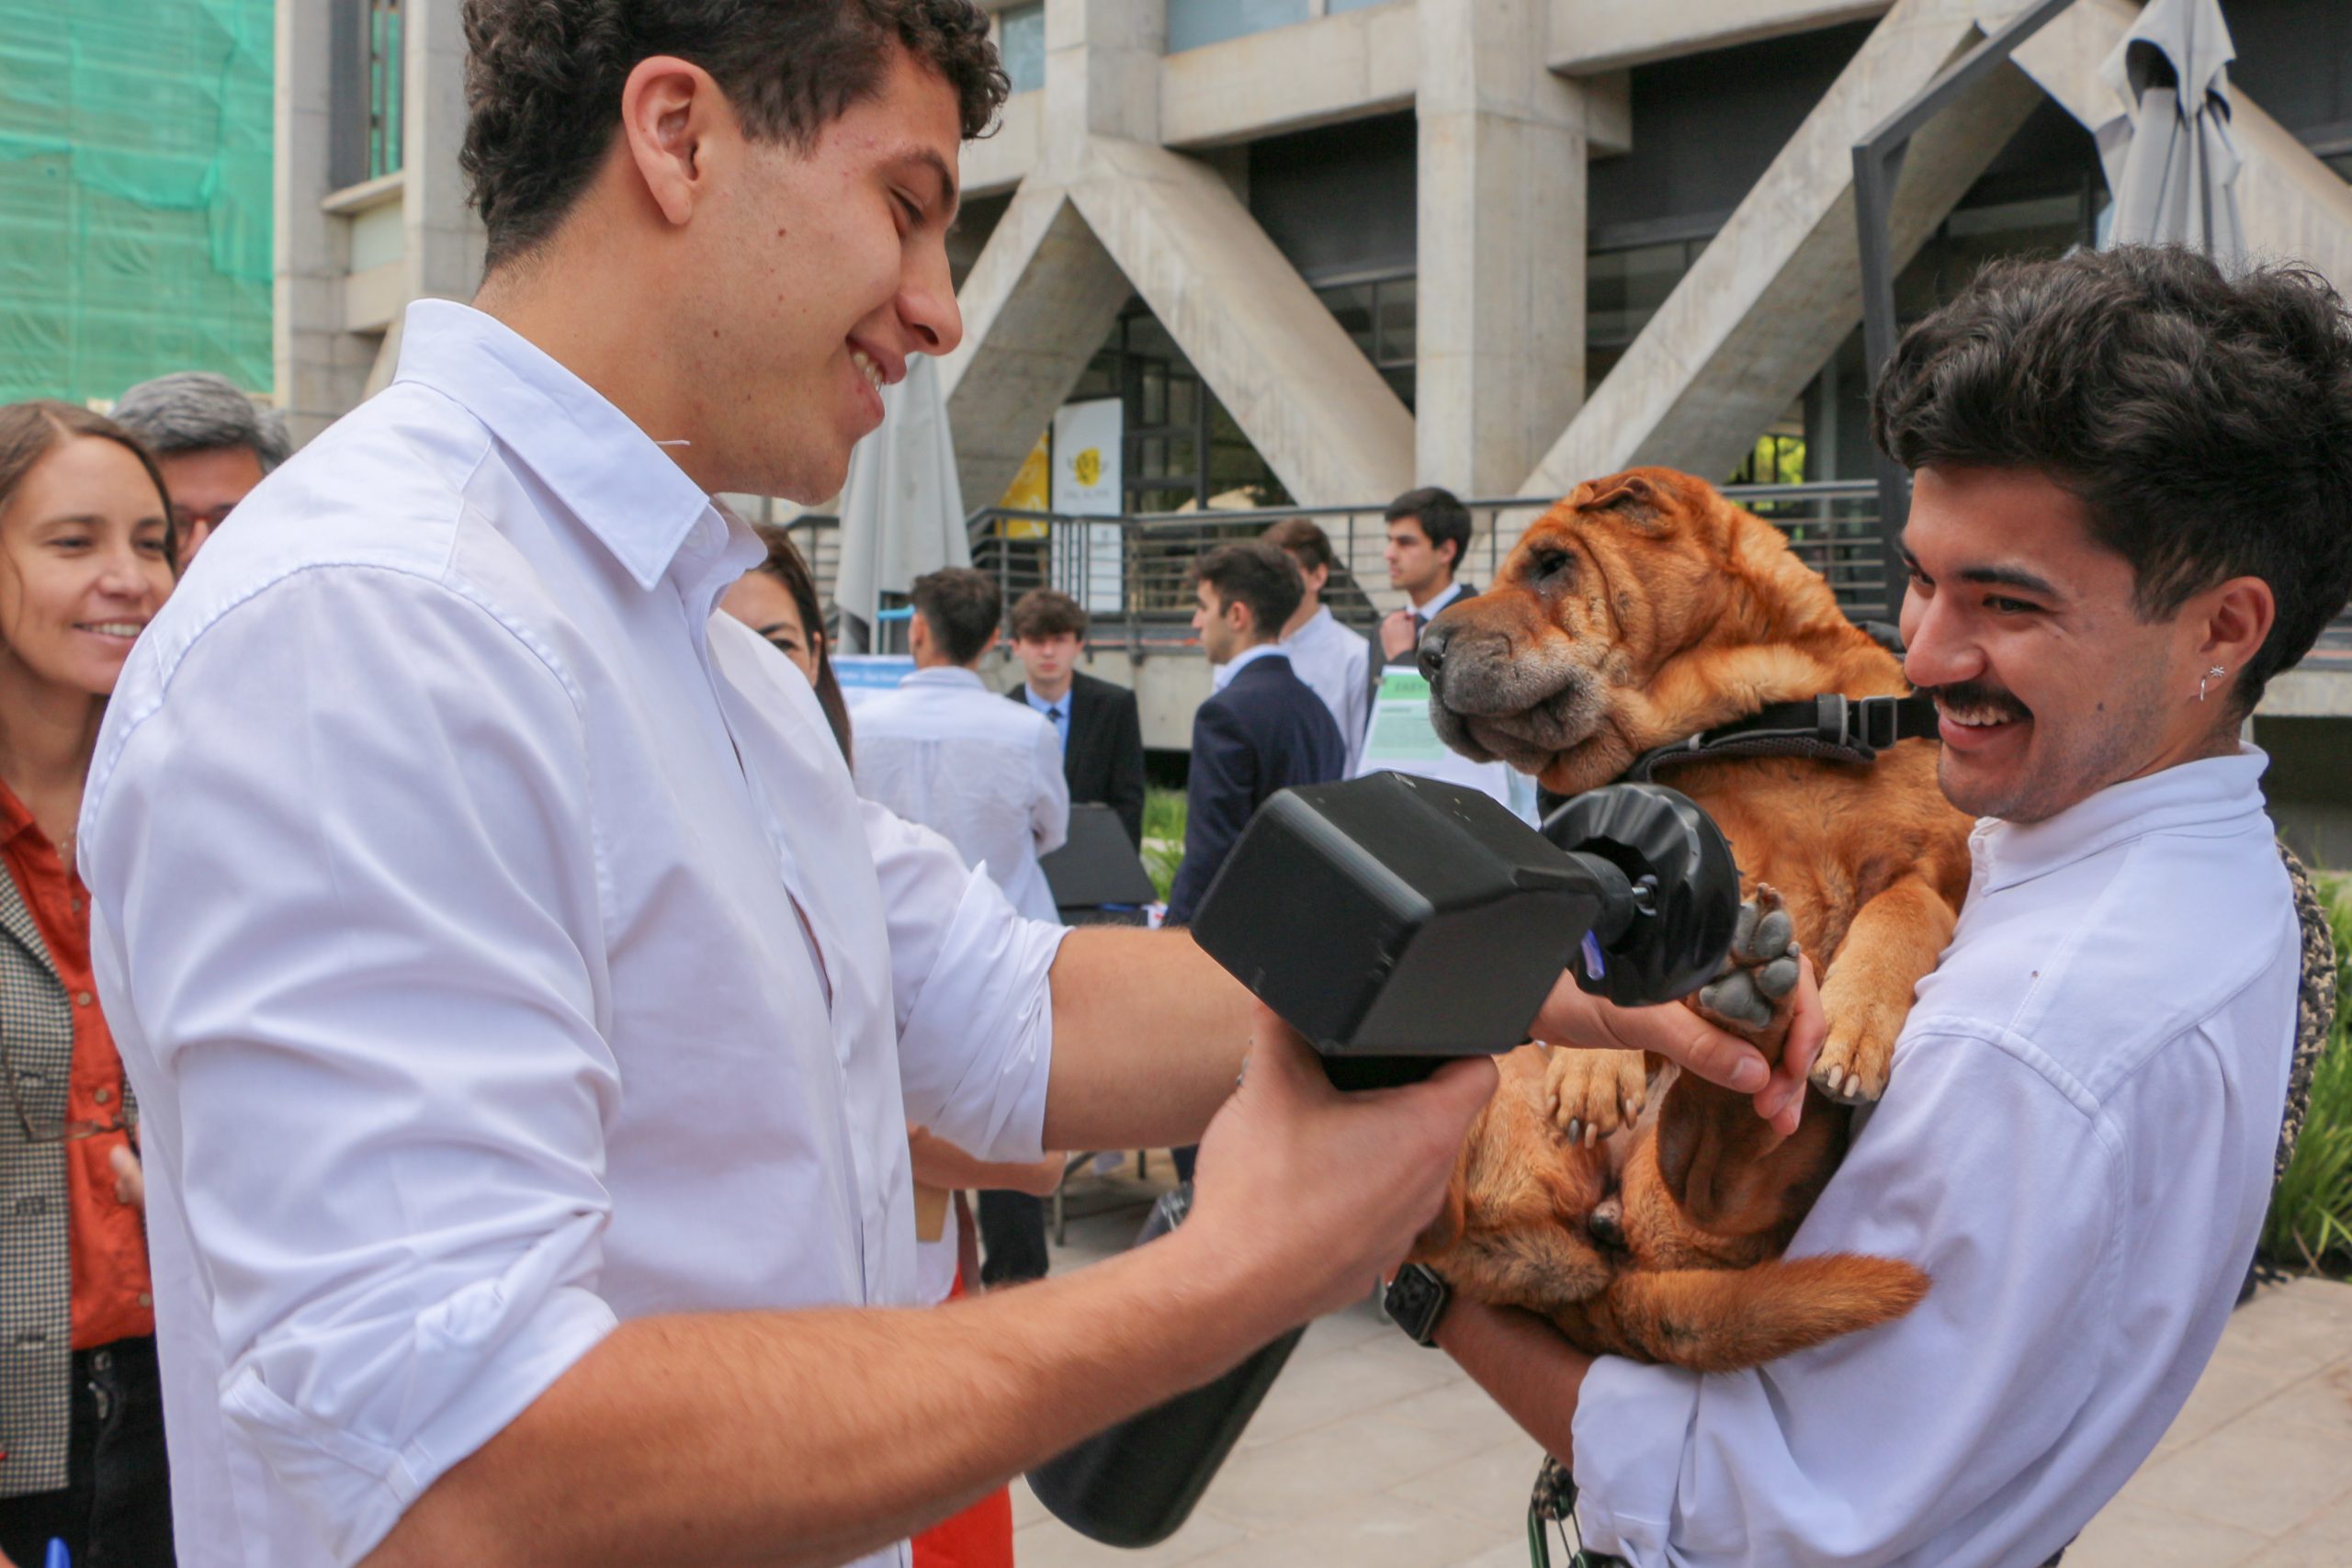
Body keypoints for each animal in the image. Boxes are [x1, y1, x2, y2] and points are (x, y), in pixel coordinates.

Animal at [1407, 467, 1973, 1371]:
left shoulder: (1934, 866)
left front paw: (1852, 1026)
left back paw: (1761, 1027)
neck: (1747, 721)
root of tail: (1602, 1268)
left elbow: (1898, 913)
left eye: (1553, 565)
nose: (1423, 653)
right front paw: (1593, 1063)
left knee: (1712, 1169)